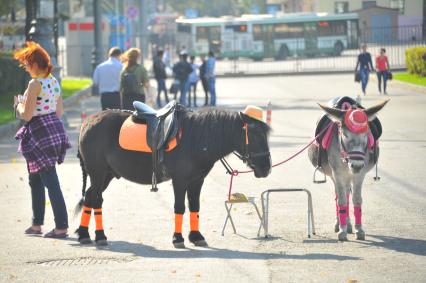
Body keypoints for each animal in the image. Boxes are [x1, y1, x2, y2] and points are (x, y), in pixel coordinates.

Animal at [75, 105, 272, 247]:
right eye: (255, 134)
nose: (266, 167)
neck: (196, 139)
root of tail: (87, 122)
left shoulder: (196, 181)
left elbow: (194, 206)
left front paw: (196, 236)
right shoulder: (180, 180)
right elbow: (179, 207)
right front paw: (178, 238)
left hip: (106, 175)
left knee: (89, 197)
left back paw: (83, 234)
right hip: (98, 172)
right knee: (97, 200)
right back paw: (100, 236)